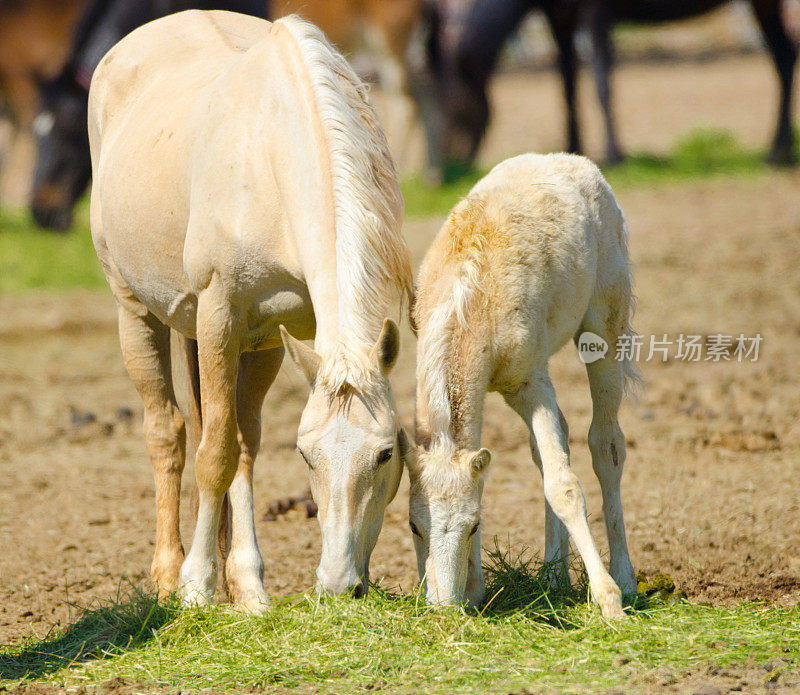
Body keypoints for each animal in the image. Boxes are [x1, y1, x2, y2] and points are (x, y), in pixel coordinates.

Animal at [410, 154, 640, 620]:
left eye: (474, 526)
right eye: (413, 527)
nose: (443, 609)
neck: (468, 300)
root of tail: (577, 163)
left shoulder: (532, 383)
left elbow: (563, 486)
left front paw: (608, 601)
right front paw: (475, 591)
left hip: (604, 330)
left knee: (605, 444)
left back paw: (624, 580)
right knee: (560, 441)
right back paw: (554, 578)